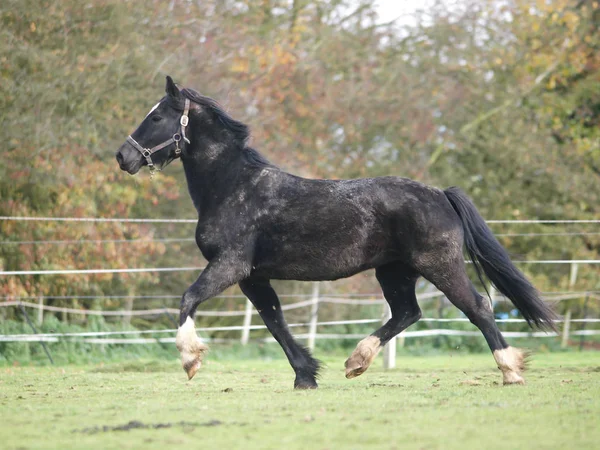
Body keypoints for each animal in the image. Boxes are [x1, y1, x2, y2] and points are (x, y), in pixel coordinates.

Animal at [117, 75, 556, 388]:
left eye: (156, 117)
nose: (122, 157)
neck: (232, 187)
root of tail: (440, 194)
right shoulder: (253, 277)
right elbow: (275, 322)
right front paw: (306, 375)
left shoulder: (231, 266)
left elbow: (189, 299)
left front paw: (191, 359)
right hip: (394, 271)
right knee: (407, 312)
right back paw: (356, 361)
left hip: (439, 265)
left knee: (478, 307)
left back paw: (511, 371)